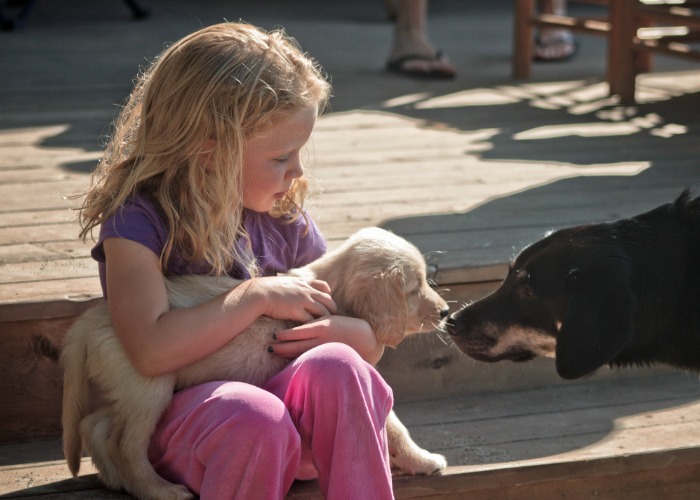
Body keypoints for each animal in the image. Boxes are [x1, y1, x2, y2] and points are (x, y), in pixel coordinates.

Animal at [63, 228, 452, 500]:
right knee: (125, 445)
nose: (446, 312)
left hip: (127, 389)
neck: (334, 294)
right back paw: (158, 489)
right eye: (415, 288)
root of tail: (91, 320)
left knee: (95, 425)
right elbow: (395, 426)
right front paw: (423, 460)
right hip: (149, 386)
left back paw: (114, 479)